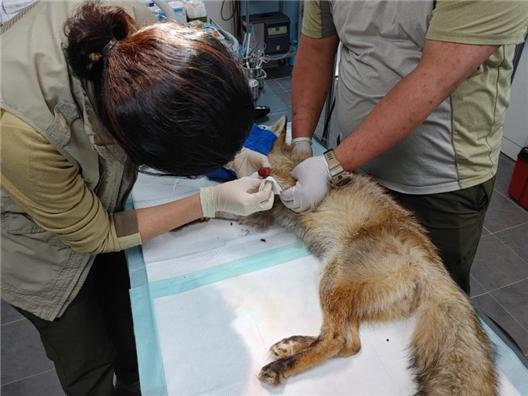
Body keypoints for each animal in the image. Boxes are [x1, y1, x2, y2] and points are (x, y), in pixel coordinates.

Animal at [245, 117, 498, 396]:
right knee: (351, 344)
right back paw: (292, 345)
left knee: (336, 339)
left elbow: (270, 184)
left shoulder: (287, 181)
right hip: (347, 295)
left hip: (331, 282)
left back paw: (283, 366)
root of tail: (428, 260)